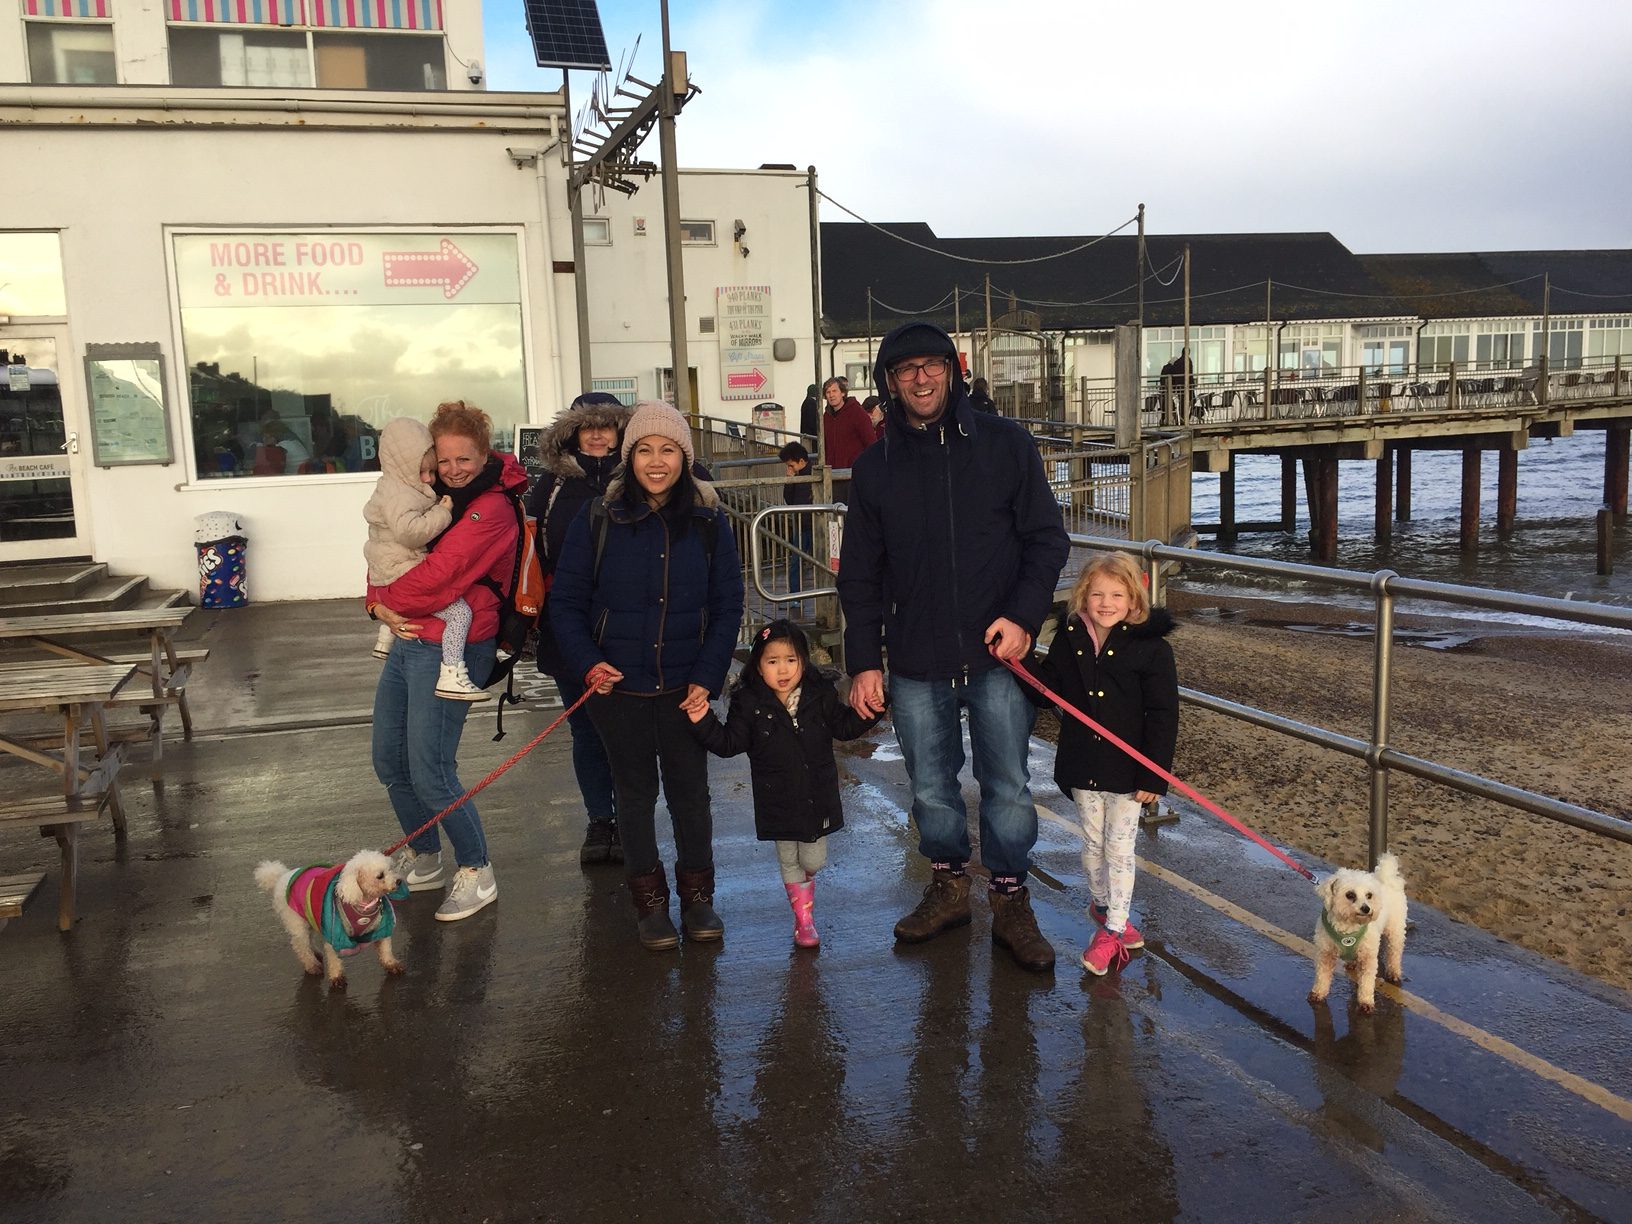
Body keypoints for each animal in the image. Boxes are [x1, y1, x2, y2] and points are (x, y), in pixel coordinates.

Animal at [257, 855, 408, 992]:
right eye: (380, 876)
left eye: (391, 869)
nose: (399, 881)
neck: (363, 904)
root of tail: (281, 876)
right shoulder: (334, 935)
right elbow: (334, 959)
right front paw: (336, 978)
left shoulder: (382, 928)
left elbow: (386, 949)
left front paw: (392, 965)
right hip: (296, 921)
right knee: (301, 945)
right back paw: (311, 965)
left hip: (309, 917)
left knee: (309, 938)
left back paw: (316, 952)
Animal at [1305, 855, 1410, 1018]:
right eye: (1350, 895)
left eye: (1369, 895)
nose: (1366, 909)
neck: (1348, 927)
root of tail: (1387, 877)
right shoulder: (1325, 953)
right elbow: (1322, 976)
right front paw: (1318, 993)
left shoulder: (1368, 957)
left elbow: (1367, 982)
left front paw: (1366, 1002)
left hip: (1395, 930)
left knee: (1394, 952)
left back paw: (1394, 972)